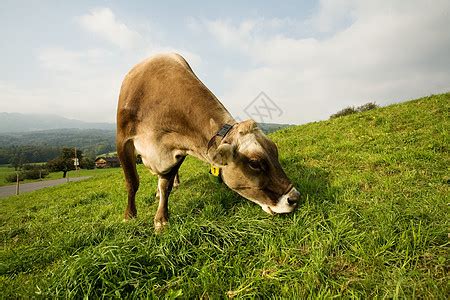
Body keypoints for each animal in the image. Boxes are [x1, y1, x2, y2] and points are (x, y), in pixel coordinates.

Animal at [117, 53, 298, 230]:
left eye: (275, 151)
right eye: (254, 163)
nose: (295, 198)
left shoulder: (179, 149)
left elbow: (165, 186)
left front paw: (161, 220)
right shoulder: (122, 141)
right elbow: (132, 182)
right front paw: (130, 216)